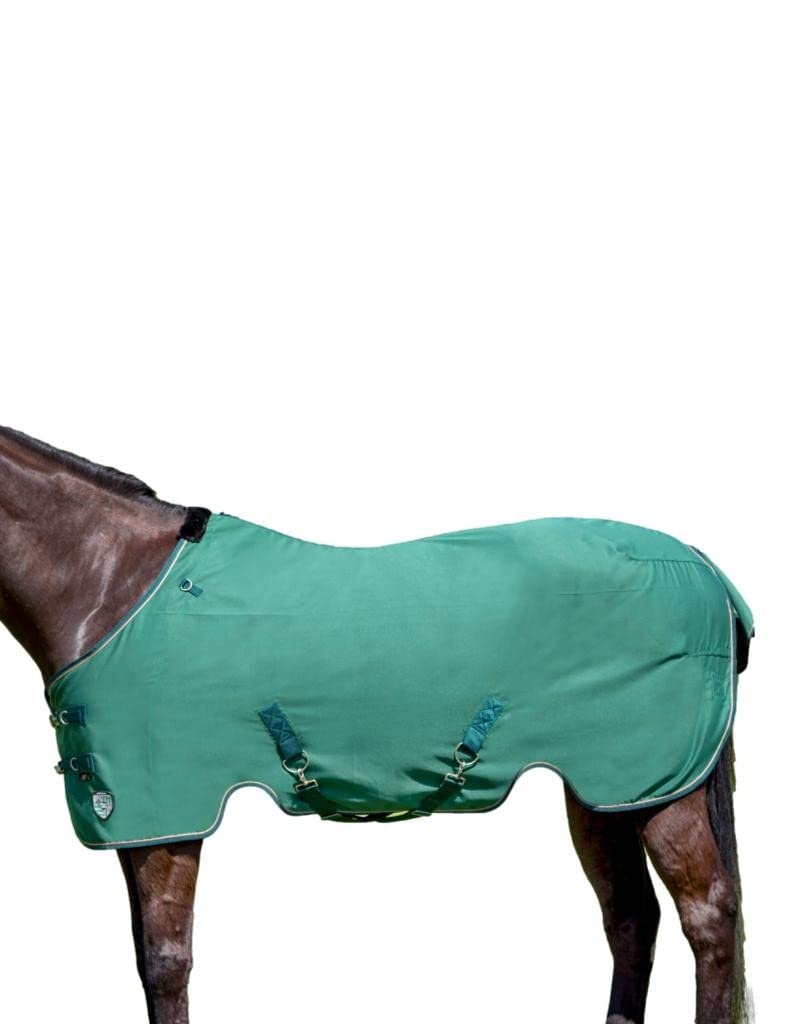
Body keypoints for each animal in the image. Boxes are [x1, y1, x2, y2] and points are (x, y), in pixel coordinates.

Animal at [0, 425, 752, 1024]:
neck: (111, 585)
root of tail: (706, 568)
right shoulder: (140, 823)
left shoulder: (166, 818)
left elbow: (165, 964)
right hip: (606, 792)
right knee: (631, 918)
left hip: (663, 788)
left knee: (708, 917)